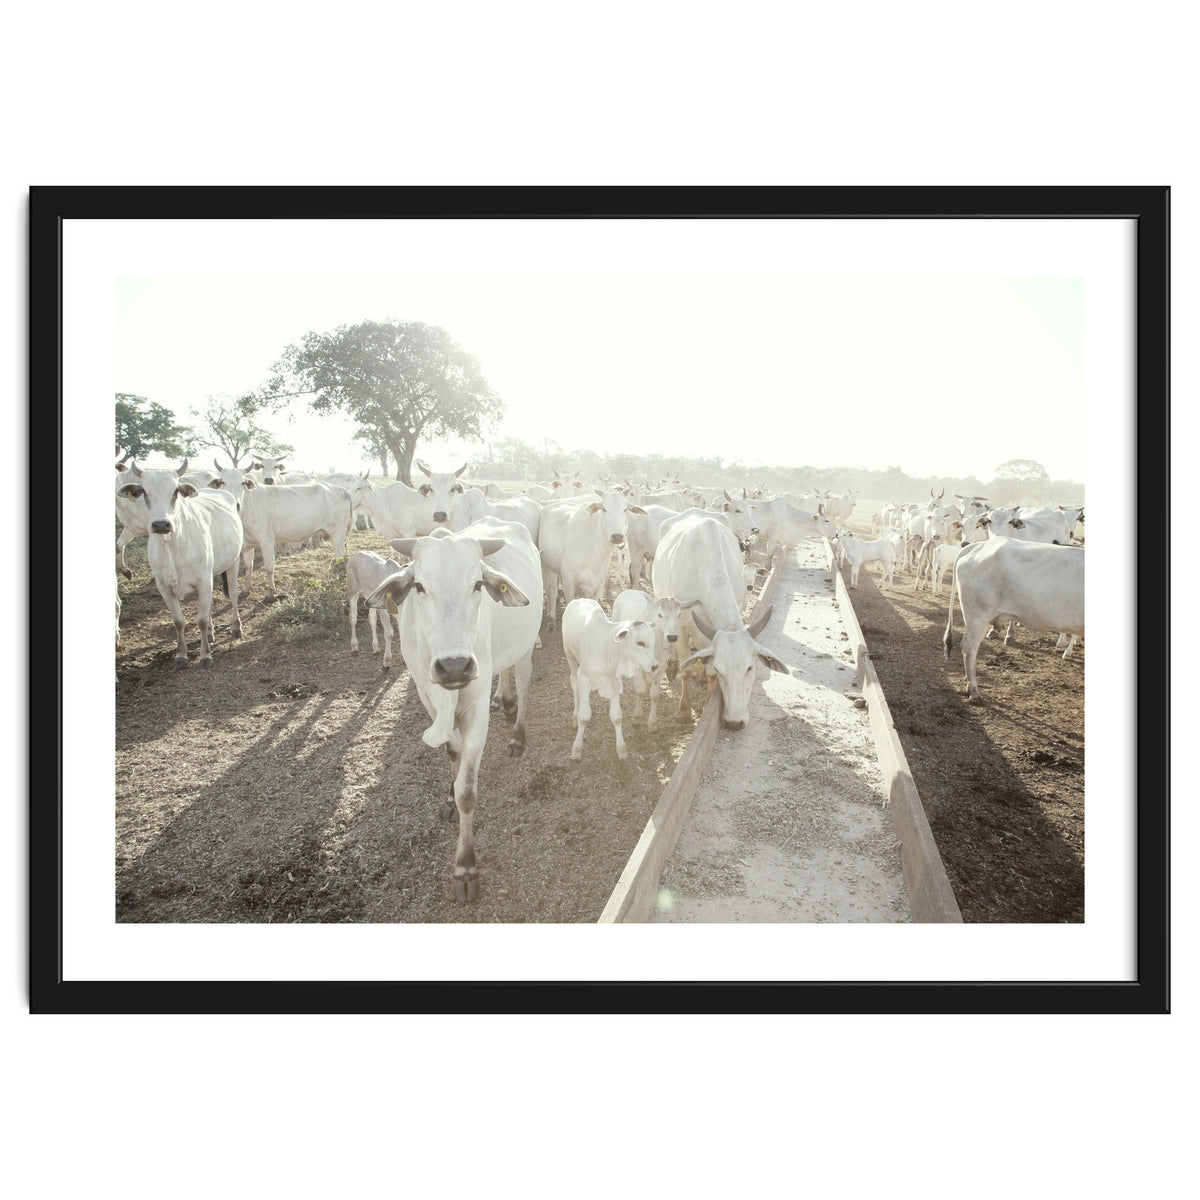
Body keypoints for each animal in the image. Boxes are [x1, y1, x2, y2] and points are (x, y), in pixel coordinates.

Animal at [116, 460, 243, 668]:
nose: (161, 524)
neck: (171, 545)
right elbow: (178, 621)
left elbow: (201, 620)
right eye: (145, 491)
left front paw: (205, 655)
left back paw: (236, 627)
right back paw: (210, 634)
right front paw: (181, 654)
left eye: (175, 491)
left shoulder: (203, 580)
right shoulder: (164, 587)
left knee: (232, 594)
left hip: (233, 562)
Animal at [366, 518, 543, 902]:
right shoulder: (426, 696)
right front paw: (448, 791)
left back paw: (518, 733)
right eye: (419, 585)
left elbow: (468, 793)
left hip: (525, 645)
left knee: (523, 681)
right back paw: (505, 701)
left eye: (477, 584)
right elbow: (451, 753)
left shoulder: (475, 712)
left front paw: (465, 867)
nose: (455, 667)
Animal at [562, 598, 659, 761]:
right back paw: (574, 715)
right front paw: (577, 749)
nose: (655, 666)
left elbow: (617, 716)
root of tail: (578, 599)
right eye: (640, 643)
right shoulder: (584, 678)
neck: (607, 648)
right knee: (573, 684)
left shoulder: (614, 682)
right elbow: (584, 716)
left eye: (653, 642)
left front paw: (621, 749)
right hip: (570, 657)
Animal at [651, 511, 790, 729]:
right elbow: (687, 669)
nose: (735, 723)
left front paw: (707, 702)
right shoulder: (680, 628)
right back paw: (673, 666)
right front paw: (684, 710)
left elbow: (709, 673)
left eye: (750, 668)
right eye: (721, 668)